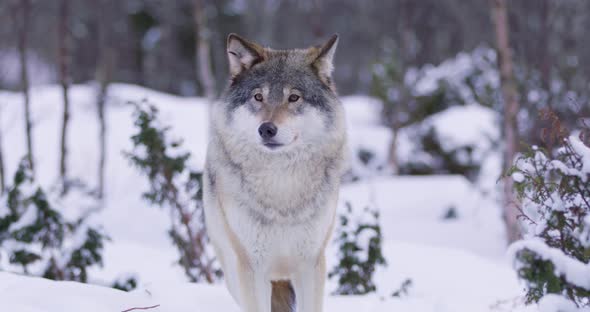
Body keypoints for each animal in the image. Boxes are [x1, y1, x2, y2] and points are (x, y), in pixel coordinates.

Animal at [206, 32, 350, 312]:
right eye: (258, 97)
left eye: (294, 98)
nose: (266, 129)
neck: (281, 187)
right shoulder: (251, 269)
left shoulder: (311, 265)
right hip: (233, 274)